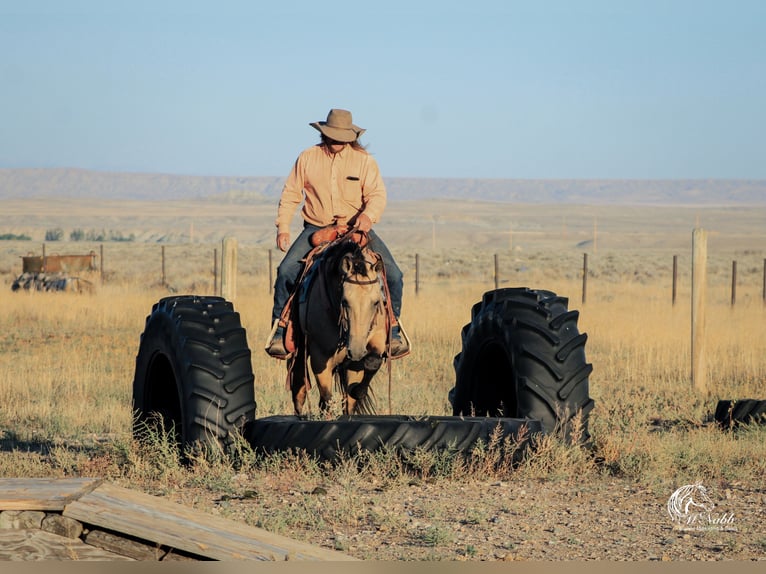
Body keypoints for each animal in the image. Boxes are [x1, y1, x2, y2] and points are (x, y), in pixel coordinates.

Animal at [284, 230, 390, 418]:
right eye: (345, 301)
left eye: (377, 302)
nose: (356, 350)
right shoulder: (319, 357)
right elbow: (327, 397)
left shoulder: (374, 342)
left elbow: (371, 364)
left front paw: (358, 391)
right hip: (299, 355)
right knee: (299, 389)